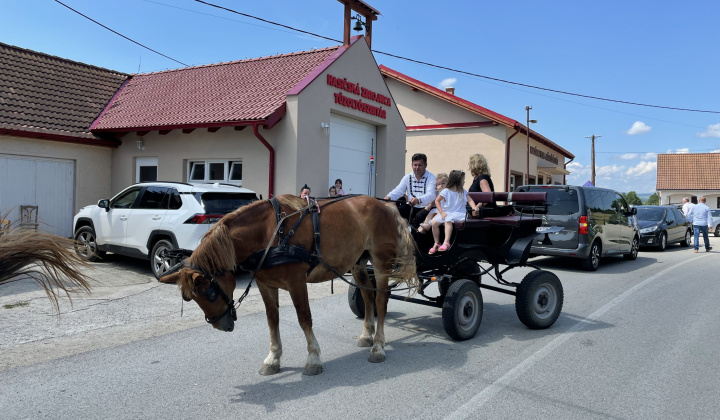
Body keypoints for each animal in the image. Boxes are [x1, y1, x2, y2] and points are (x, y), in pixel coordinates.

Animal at [159, 195, 416, 376]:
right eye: (191, 299)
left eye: (210, 293)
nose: (222, 326)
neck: (271, 233)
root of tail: (386, 205)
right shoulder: (265, 284)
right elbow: (272, 319)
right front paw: (273, 359)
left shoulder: (296, 282)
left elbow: (304, 318)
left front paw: (313, 358)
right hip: (359, 263)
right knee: (368, 296)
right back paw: (366, 335)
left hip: (381, 262)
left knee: (381, 300)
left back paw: (378, 347)